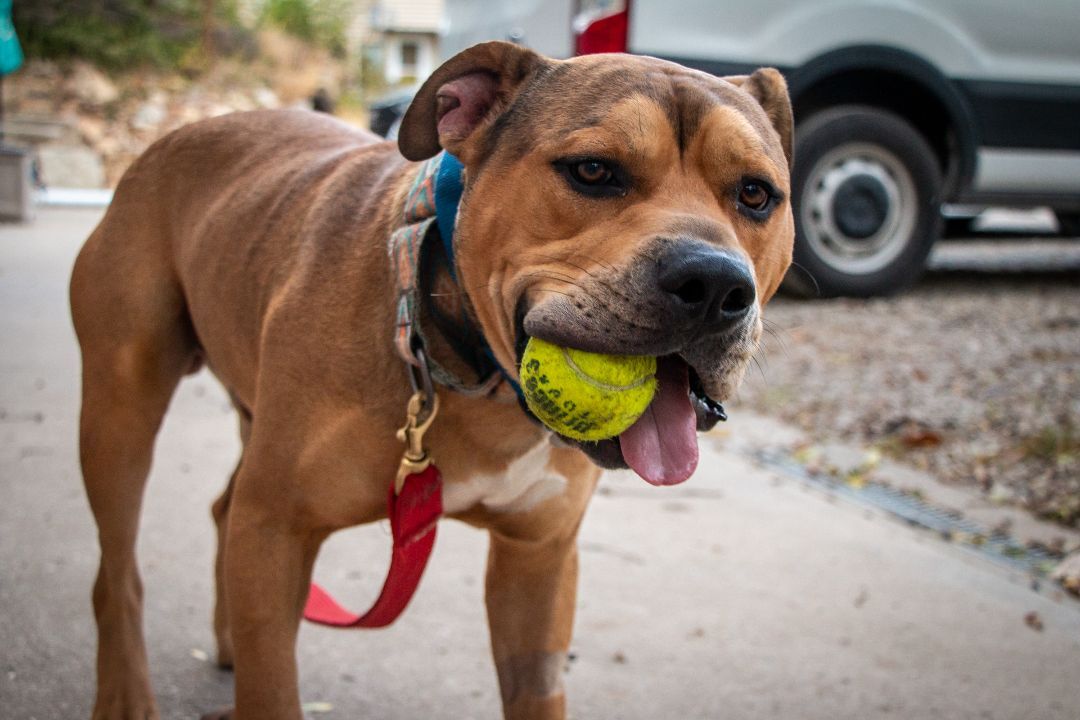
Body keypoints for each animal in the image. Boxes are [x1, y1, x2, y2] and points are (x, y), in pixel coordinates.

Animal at [67, 40, 794, 720]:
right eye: (593, 171)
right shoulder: (276, 530)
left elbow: (535, 688)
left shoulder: (539, 562)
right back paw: (125, 691)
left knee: (222, 509)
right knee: (116, 567)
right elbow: (272, 688)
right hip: (120, 407)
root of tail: (181, 134)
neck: (475, 368)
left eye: (756, 194)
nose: (714, 285)